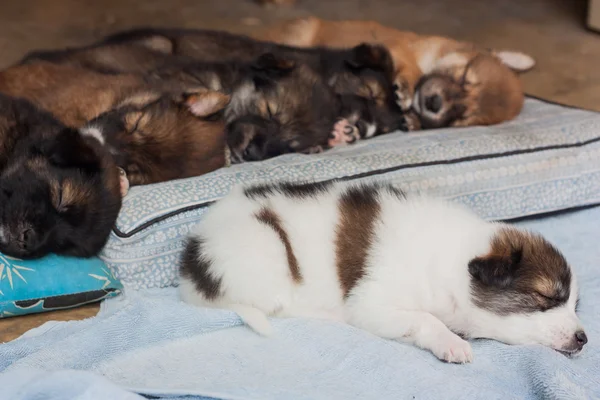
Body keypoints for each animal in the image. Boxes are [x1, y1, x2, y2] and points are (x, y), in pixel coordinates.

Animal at [180, 181, 588, 362]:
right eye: (545, 297)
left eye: (574, 304)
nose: (584, 338)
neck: (452, 264)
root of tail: (190, 261)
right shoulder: (373, 301)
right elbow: (426, 318)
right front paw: (452, 342)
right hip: (266, 251)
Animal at [253, 17, 536, 129]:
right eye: (464, 77)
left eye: (462, 116)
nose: (434, 103)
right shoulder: (397, 47)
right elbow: (408, 66)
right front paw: (407, 89)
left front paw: (413, 120)